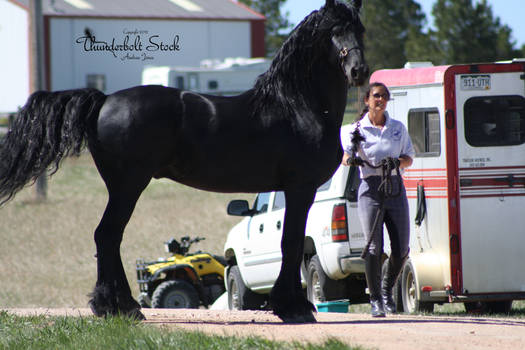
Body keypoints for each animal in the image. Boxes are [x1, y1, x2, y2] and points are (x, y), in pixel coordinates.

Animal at [0, 0, 366, 322]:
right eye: (333, 31)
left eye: (359, 29)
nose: (359, 70)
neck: (297, 107)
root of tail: (104, 100)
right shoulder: (300, 187)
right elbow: (290, 242)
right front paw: (293, 308)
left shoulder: (297, 189)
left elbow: (291, 242)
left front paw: (290, 304)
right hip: (128, 185)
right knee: (107, 235)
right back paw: (119, 307)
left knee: (109, 237)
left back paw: (119, 306)